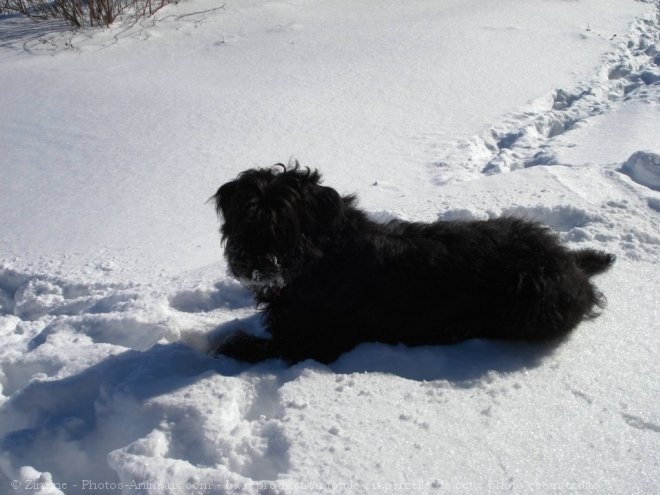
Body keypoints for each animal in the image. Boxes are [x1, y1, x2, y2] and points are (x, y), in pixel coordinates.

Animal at [213, 164, 612, 364]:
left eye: (282, 224)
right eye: (245, 218)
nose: (252, 261)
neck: (321, 254)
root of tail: (565, 261)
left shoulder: (321, 340)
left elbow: (271, 346)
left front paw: (232, 345)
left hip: (530, 292)